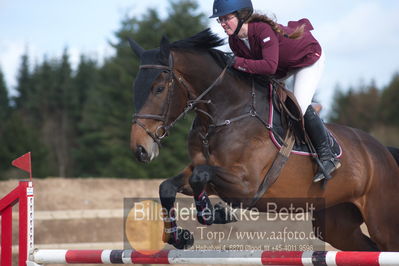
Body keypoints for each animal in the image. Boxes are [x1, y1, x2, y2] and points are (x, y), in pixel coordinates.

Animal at [129, 29, 399, 251]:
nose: (139, 149)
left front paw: (215, 214)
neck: (224, 115)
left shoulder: (247, 185)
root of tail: (383, 152)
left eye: (158, 89)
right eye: (135, 87)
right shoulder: (202, 170)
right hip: (336, 223)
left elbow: (200, 177)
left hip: (382, 223)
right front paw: (180, 236)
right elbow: (168, 186)